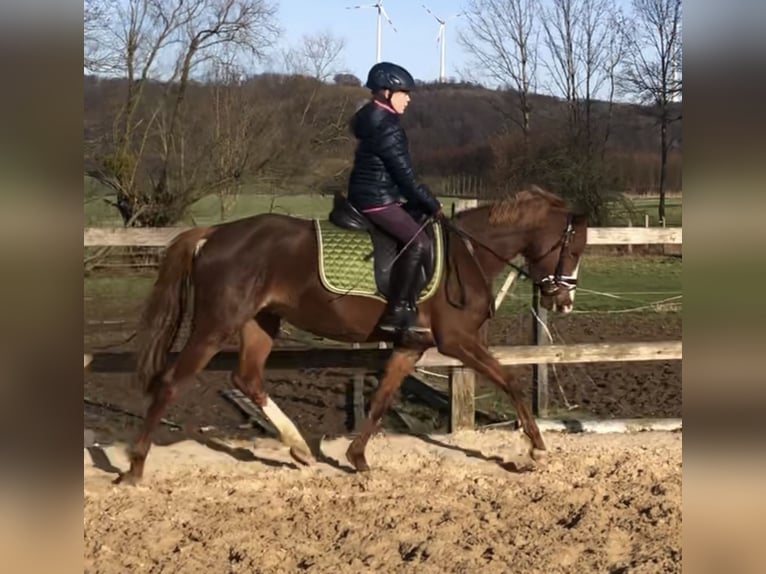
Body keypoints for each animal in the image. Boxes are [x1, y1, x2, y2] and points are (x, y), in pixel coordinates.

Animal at [117, 187, 592, 484]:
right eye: (572, 247)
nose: (562, 302)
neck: (468, 253)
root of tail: (215, 233)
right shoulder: (456, 341)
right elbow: (509, 380)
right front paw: (537, 449)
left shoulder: (411, 345)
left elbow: (382, 398)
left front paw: (357, 459)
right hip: (216, 325)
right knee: (171, 383)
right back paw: (136, 467)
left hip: (259, 323)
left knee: (247, 379)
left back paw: (299, 449)